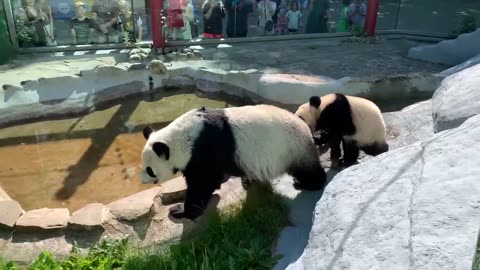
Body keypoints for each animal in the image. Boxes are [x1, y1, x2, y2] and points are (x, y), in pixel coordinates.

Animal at [139, 104, 326, 220]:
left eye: (149, 170)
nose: (142, 180)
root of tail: (305, 126)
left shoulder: (204, 148)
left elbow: (203, 181)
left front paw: (180, 210)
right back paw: (248, 180)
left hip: (292, 148)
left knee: (307, 170)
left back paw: (308, 183)